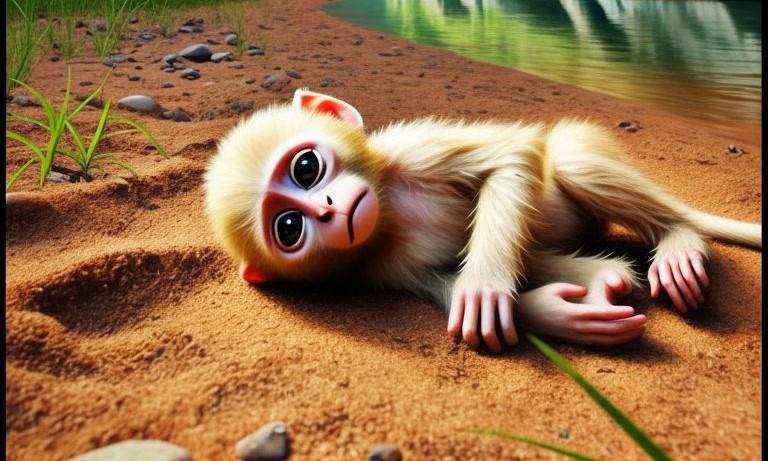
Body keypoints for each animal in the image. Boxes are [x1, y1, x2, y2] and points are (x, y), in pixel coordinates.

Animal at [204, 89, 761, 353]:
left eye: (306, 168)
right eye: (289, 229)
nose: (328, 210)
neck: (391, 212)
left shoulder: (410, 149)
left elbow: (510, 155)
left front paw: (485, 287)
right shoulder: (382, 267)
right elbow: (447, 290)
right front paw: (563, 312)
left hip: (586, 152)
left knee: (575, 164)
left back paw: (678, 238)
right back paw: (608, 277)